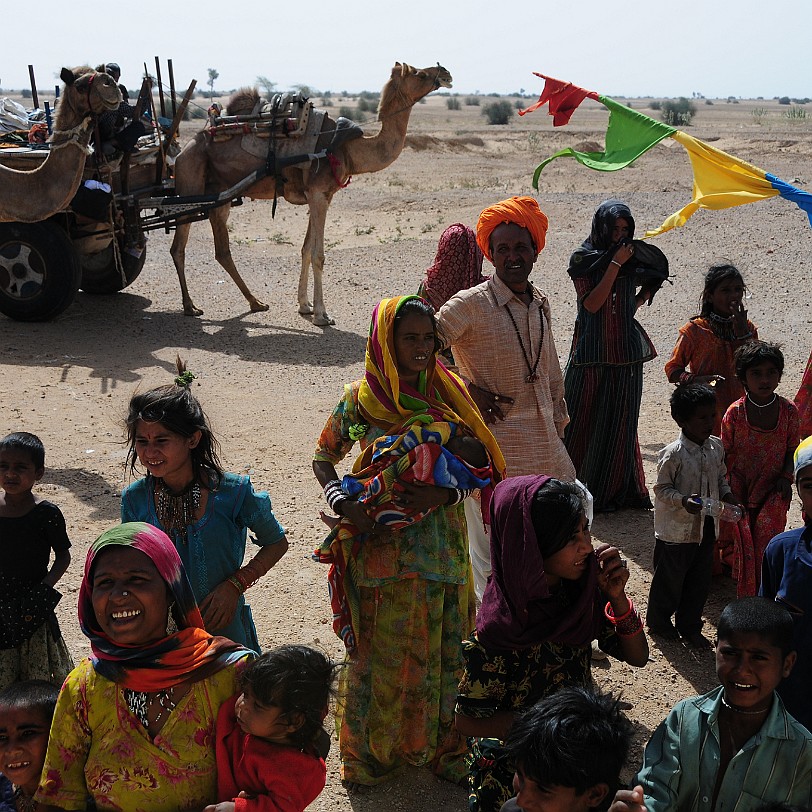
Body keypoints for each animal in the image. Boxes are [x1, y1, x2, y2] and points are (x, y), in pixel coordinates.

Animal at [172, 61, 454, 326]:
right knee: (185, 247)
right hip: (190, 187)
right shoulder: (318, 194)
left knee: (206, 250)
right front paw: (321, 314)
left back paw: (239, 303)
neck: (347, 149)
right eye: (419, 74)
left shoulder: (320, 195)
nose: (446, 73)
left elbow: (306, 249)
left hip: (218, 197)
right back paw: (198, 306)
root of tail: (182, 151)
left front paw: (304, 305)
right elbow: (318, 254)